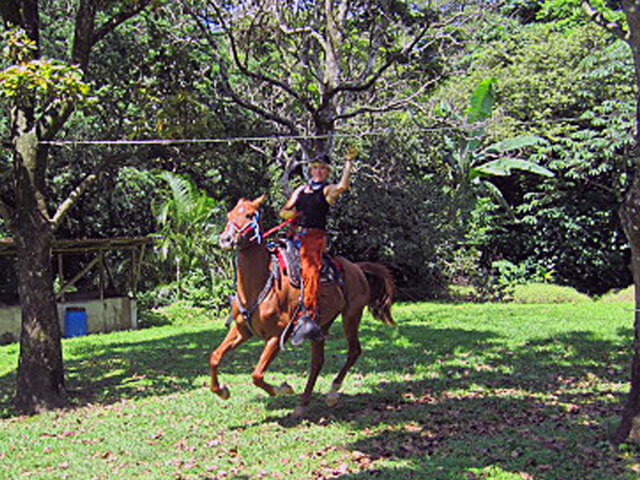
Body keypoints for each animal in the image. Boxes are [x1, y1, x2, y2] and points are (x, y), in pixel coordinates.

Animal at [215, 195, 396, 416]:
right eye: (229, 214)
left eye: (249, 215)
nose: (226, 239)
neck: (260, 284)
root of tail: (357, 268)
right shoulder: (242, 330)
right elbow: (215, 357)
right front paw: (222, 391)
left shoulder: (276, 336)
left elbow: (257, 375)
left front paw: (283, 388)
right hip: (321, 325)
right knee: (318, 362)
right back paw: (303, 403)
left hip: (352, 315)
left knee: (354, 351)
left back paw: (332, 392)